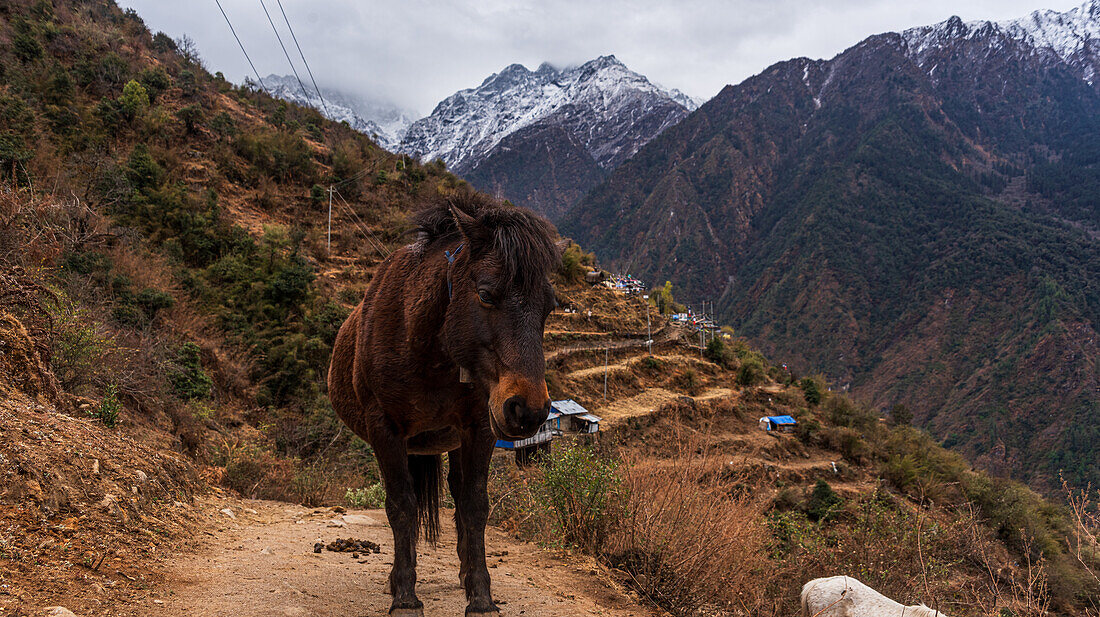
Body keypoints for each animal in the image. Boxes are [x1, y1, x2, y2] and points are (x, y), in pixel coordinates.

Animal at [325, 190, 558, 611]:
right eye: (486, 294)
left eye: (549, 306)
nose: (528, 410)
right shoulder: (385, 429)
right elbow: (401, 506)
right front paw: (404, 596)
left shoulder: (480, 427)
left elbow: (474, 506)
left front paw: (481, 598)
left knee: (457, 490)